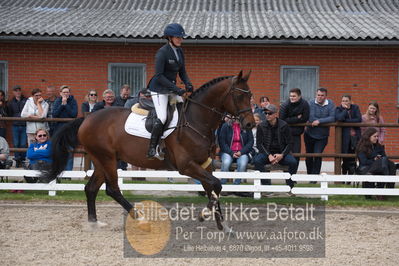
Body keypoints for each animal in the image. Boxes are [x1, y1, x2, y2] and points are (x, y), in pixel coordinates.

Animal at [39, 70, 253, 231]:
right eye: (239, 95)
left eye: (249, 95)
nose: (250, 124)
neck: (196, 120)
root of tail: (86, 118)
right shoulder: (186, 166)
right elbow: (216, 185)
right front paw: (205, 214)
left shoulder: (205, 164)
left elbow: (213, 188)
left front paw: (223, 226)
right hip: (107, 159)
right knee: (112, 189)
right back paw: (140, 218)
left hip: (103, 160)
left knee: (91, 188)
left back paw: (94, 223)